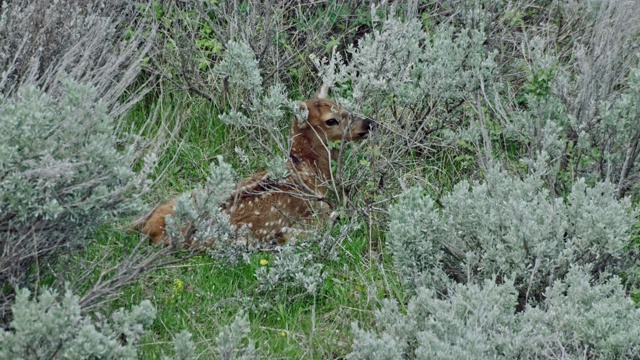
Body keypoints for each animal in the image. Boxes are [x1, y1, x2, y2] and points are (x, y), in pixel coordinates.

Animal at [138, 86, 372, 246]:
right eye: (331, 120)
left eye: (343, 106)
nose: (368, 123)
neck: (309, 169)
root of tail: (150, 229)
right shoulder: (312, 215)